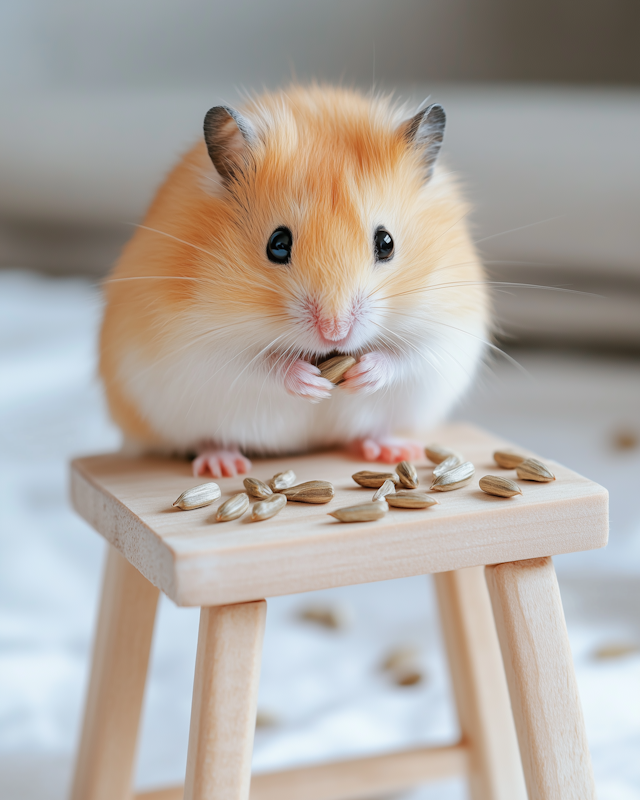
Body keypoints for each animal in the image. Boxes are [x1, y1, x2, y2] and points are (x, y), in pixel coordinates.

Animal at [101, 85, 490, 478]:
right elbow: (258, 365)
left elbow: (405, 356)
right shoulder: (195, 346)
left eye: (386, 242)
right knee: (207, 438)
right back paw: (223, 466)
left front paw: (363, 373)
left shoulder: (448, 331)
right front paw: (310, 383)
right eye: (278, 244)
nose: (335, 332)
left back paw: (391, 450)